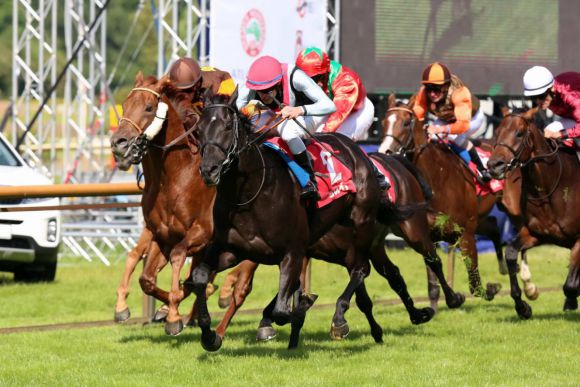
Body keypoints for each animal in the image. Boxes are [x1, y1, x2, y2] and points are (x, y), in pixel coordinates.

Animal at [110, 73, 216, 336]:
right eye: (125, 105)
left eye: (149, 107)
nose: (119, 143)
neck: (174, 177)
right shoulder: (162, 234)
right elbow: (146, 279)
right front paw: (165, 309)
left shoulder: (202, 232)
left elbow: (180, 259)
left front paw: (174, 316)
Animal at [378, 95, 500, 302]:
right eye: (384, 122)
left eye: (405, 123)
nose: (385, 151)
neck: (437, 179)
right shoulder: (429, 235)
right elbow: (433, 283)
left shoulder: (466, 232)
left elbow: (475, 284)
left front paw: (491, 289)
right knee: (494, 227)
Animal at [488, 110, 576, 316]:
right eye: (497, 132)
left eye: (519, 133)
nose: (494, 165)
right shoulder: (536, 233)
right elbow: (511, 253)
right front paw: (523, 305)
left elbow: (570, 286)